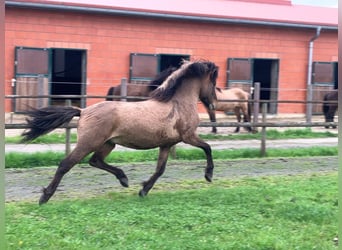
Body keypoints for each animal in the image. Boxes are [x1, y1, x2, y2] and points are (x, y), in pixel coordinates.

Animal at [22, 60, 219, 205]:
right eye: (213, 82)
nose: (213, 103)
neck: (177, 104)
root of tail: (83, 111)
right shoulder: (188, 136)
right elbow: (207, 147)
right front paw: (208, 175)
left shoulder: (166, 144)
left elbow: (160, 169)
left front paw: (143, 190)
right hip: (89, 143)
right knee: (66, 164)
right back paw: (45, 197)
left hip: (108, 143)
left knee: (95, 160)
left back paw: (124, 179)